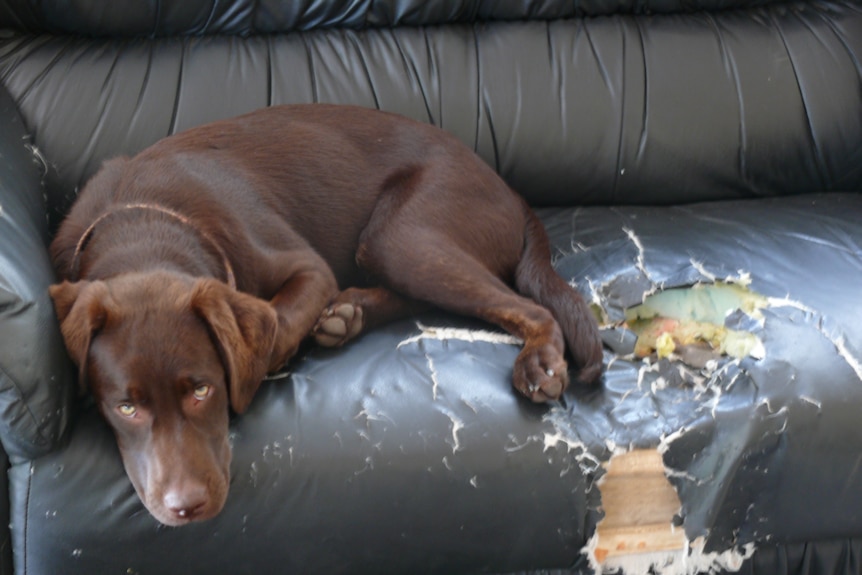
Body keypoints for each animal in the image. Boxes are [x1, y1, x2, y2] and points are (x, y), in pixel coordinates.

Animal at [50, 103, 604, 528]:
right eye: (125, 408)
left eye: (203, 390)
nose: (187, 507)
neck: (144, 220)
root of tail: (512, 192)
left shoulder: (307, 267)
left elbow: (276, 326)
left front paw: (268, 360)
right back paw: (348, 314)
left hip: (401, 234)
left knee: (530, 305)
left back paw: (538, 362)